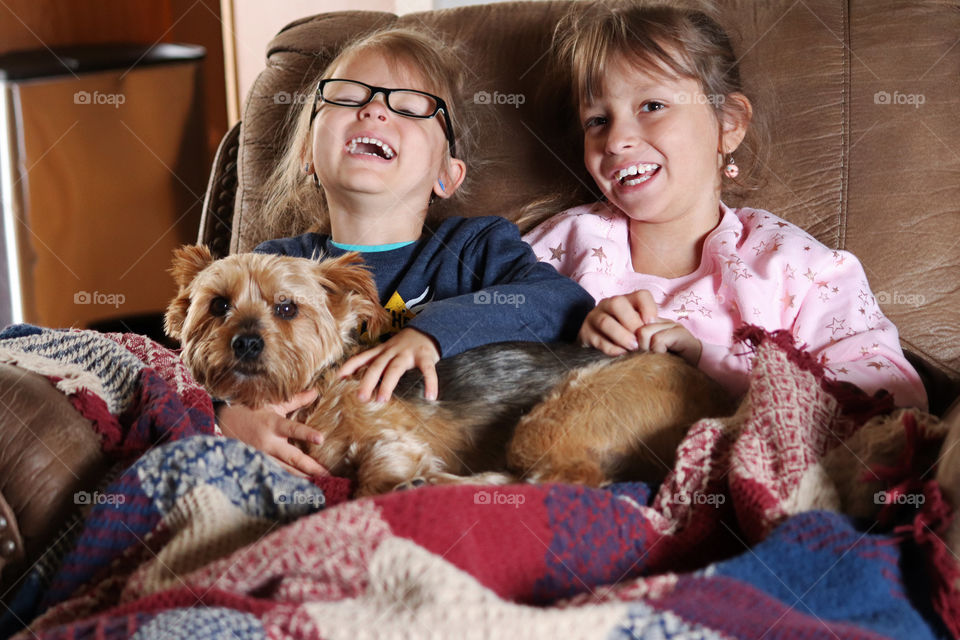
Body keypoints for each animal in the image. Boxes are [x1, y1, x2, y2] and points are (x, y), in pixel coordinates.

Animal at [165, 245, 736, 496]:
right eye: (217, 306)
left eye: (286, 308)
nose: (245, 341)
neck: (318, 389)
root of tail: (717, 397)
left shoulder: (392, 432)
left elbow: (373, 472)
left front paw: (395, 480)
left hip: (558, 416)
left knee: (565, 479)